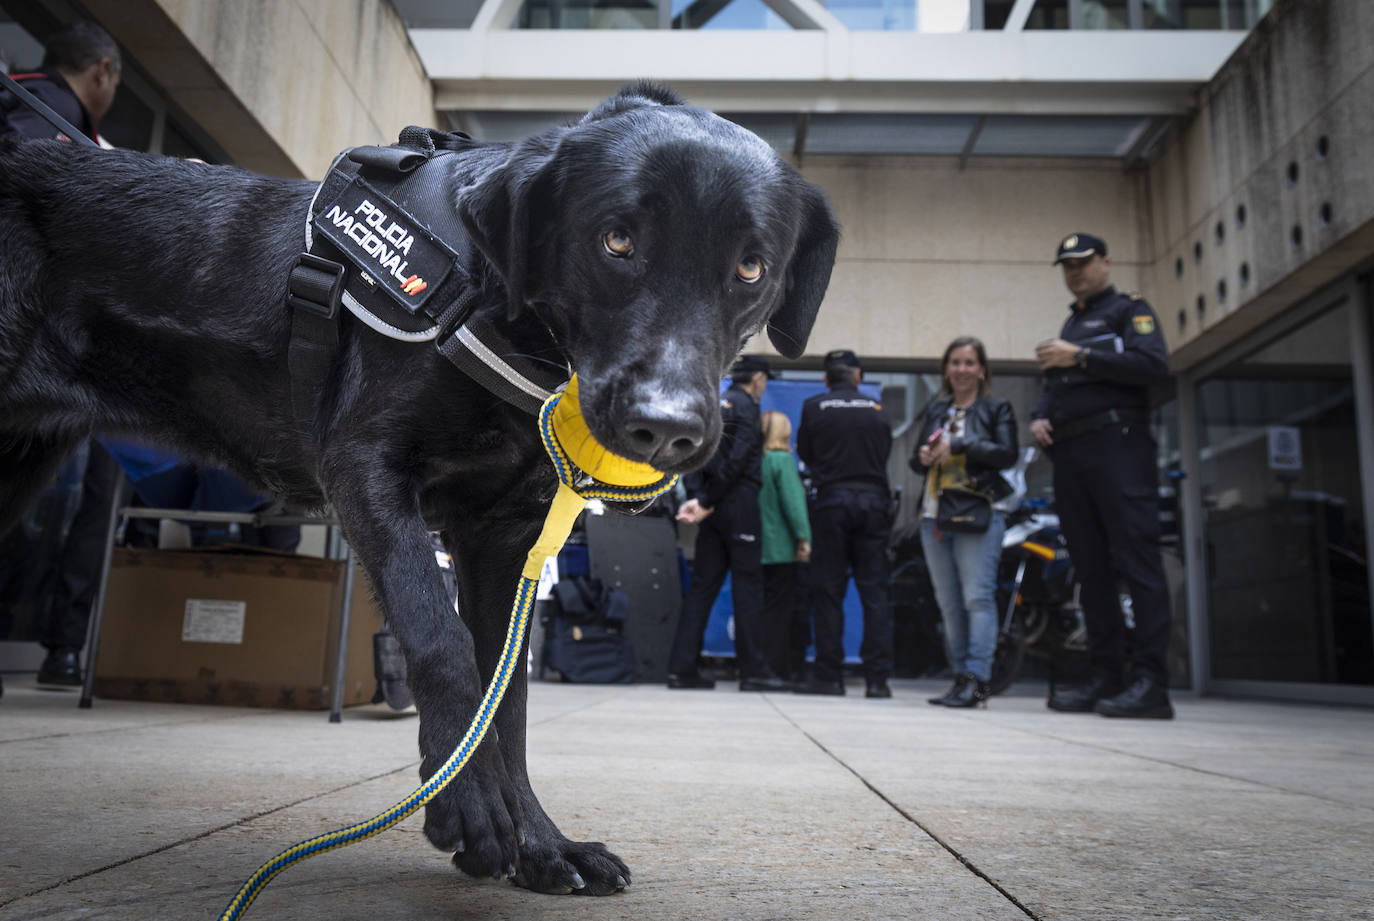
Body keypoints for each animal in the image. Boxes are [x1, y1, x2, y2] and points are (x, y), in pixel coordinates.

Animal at [0, 84, 835, 896]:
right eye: (617, 241)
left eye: (752, 268)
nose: (665, 428)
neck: (491, 301)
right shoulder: (366, 468)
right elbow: (441, 638)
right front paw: (468, 803)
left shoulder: (503, 537)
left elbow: (509, 698)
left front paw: (542, 843)